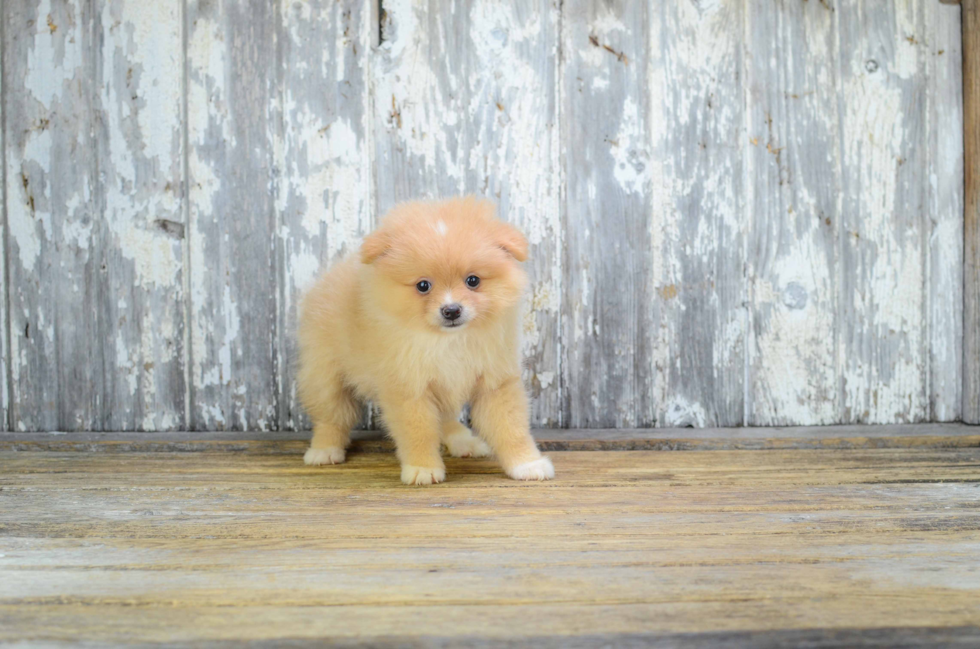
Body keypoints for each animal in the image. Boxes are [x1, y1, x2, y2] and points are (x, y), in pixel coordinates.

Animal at [298, 195, 556, 484]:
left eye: (473, 281)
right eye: (423, 286)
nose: (451, 310)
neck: (447, 340)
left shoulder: (495, 382)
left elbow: (511, 427)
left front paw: (527, 463)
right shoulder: (410, 388)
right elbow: (418, 432)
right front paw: (422, 468)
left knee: (445, 417)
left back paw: (462, 441)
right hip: (325, 374)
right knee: (331, 415)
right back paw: (324, 450)